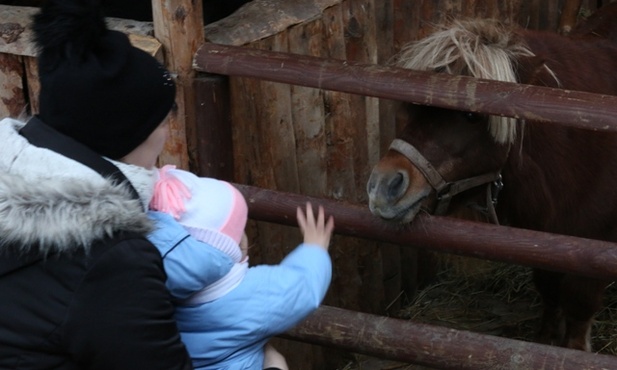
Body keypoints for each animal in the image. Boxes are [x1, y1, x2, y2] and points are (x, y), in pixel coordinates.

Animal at [366, 6, 616, 352]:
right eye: (414, 109)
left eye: (472, 115)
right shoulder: (545, 240)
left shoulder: (595, 251)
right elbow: (549, 293)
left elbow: (578, 315)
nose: (384, 186)